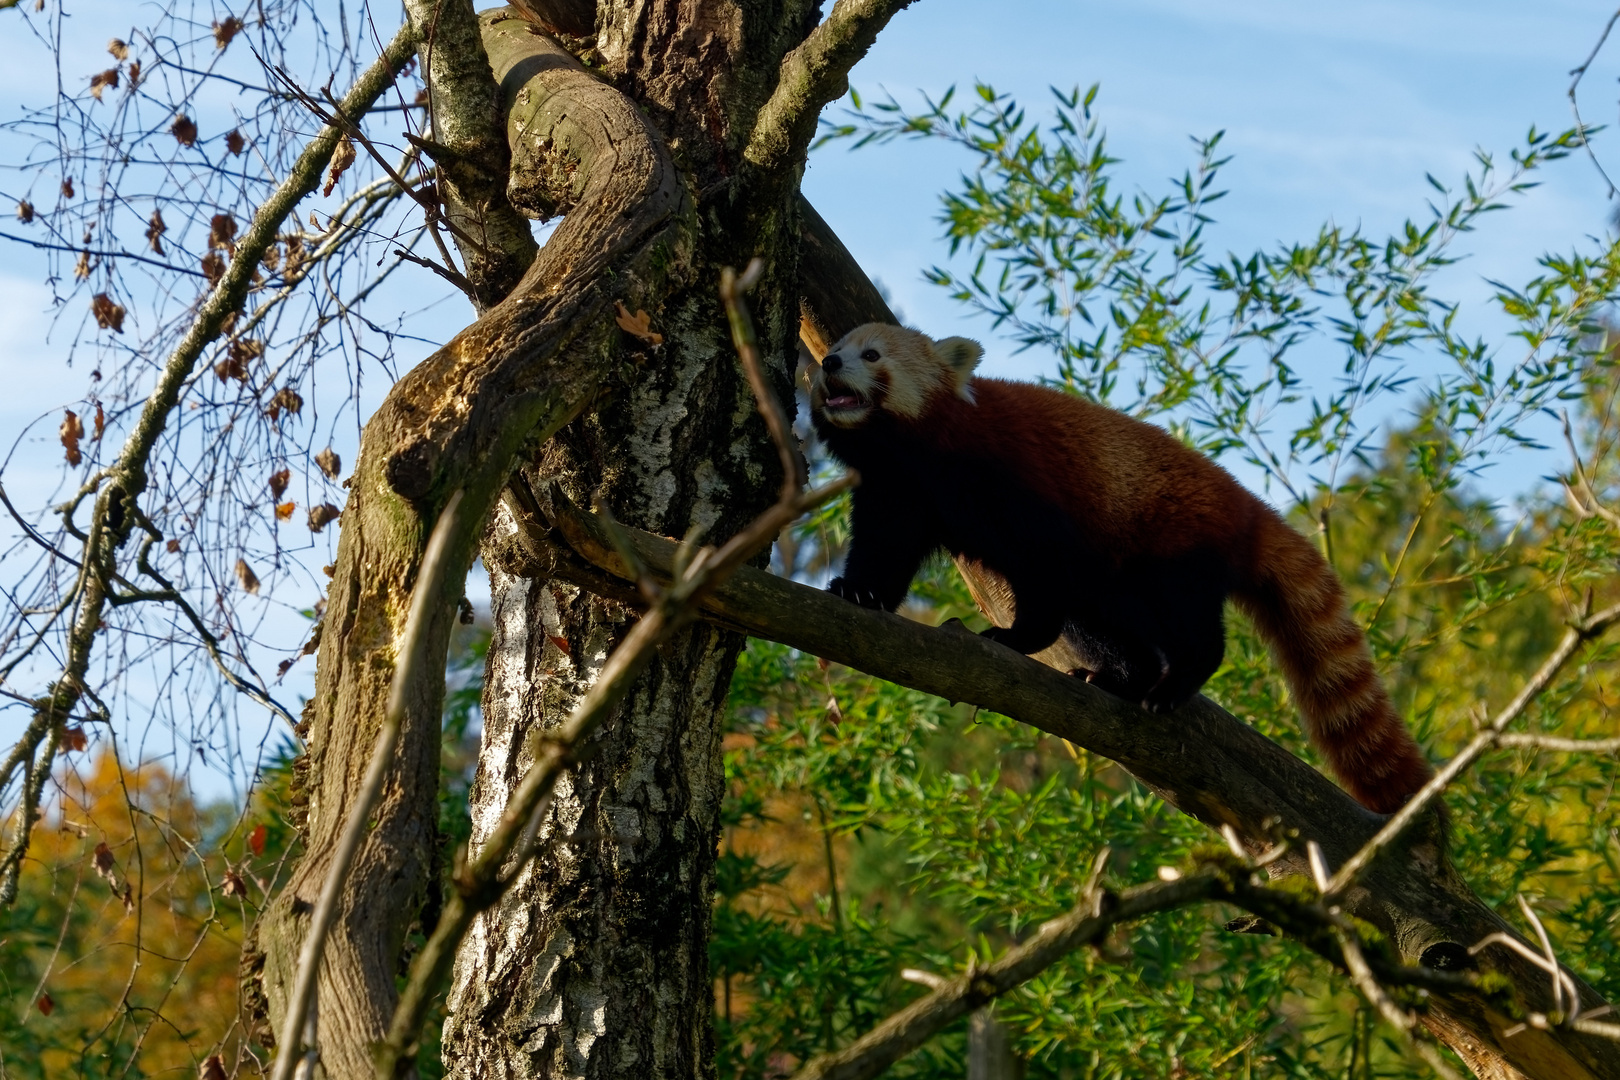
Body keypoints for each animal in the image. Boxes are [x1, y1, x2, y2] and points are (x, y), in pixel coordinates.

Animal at [806, 325, 1432, 816]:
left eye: (872, 356)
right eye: (835, 349)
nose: (829, 364)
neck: (922, 451)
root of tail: (1244, 505)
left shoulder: (1018, 484)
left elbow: (1039, 577)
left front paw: (1015, 637)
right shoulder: (900, 490)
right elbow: (886, 547)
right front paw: (860, 592)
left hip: (1174, 548)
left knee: (1189, 624)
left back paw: (1174, 681)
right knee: (1106, 622)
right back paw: (1122, 677)